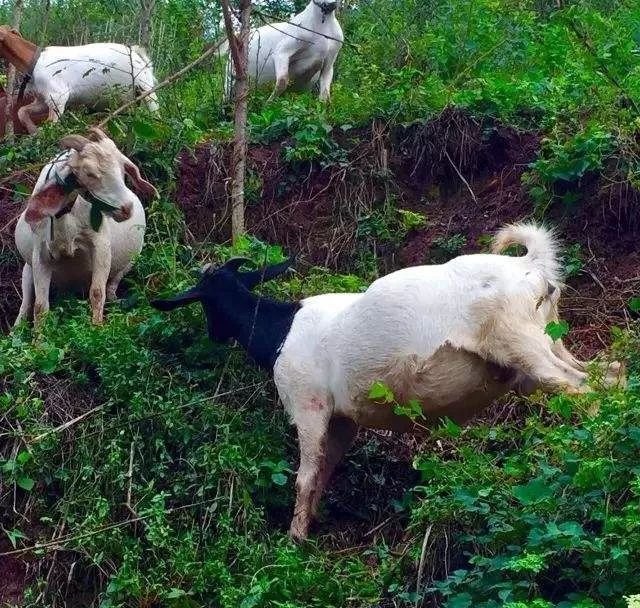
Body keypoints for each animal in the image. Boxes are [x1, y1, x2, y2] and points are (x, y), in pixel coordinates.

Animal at [0, 25, 159, 134]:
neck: (34, 60)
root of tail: (137, 53)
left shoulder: (58, 98)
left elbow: (51, 125)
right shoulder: (43, 100)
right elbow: (22, 112)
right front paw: (33, 130)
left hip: (147, 90)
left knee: (155, 114)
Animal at [15, 126, 158, 328]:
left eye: (122, 168)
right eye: (89, 173)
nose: (127, 209)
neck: (66, 216)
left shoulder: (100, 245)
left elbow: (97, 292)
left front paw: (96, 327)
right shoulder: (40, 255)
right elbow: (40, 307)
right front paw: (38, 338)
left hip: (130, 261)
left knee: (111, 288)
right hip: (27, 270)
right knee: (25, 305)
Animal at [151, 226, 624, 540]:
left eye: (205, 302)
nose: (214, 335)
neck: (281, 330)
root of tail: (532, 266)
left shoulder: (308, 406)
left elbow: (305, 475)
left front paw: (294, 539)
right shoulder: (342, 420)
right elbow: (325, 470)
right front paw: (310, 525)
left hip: (522, 344)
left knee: (581, 390)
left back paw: (595, 452)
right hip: (546, 344)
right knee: (609, 374)